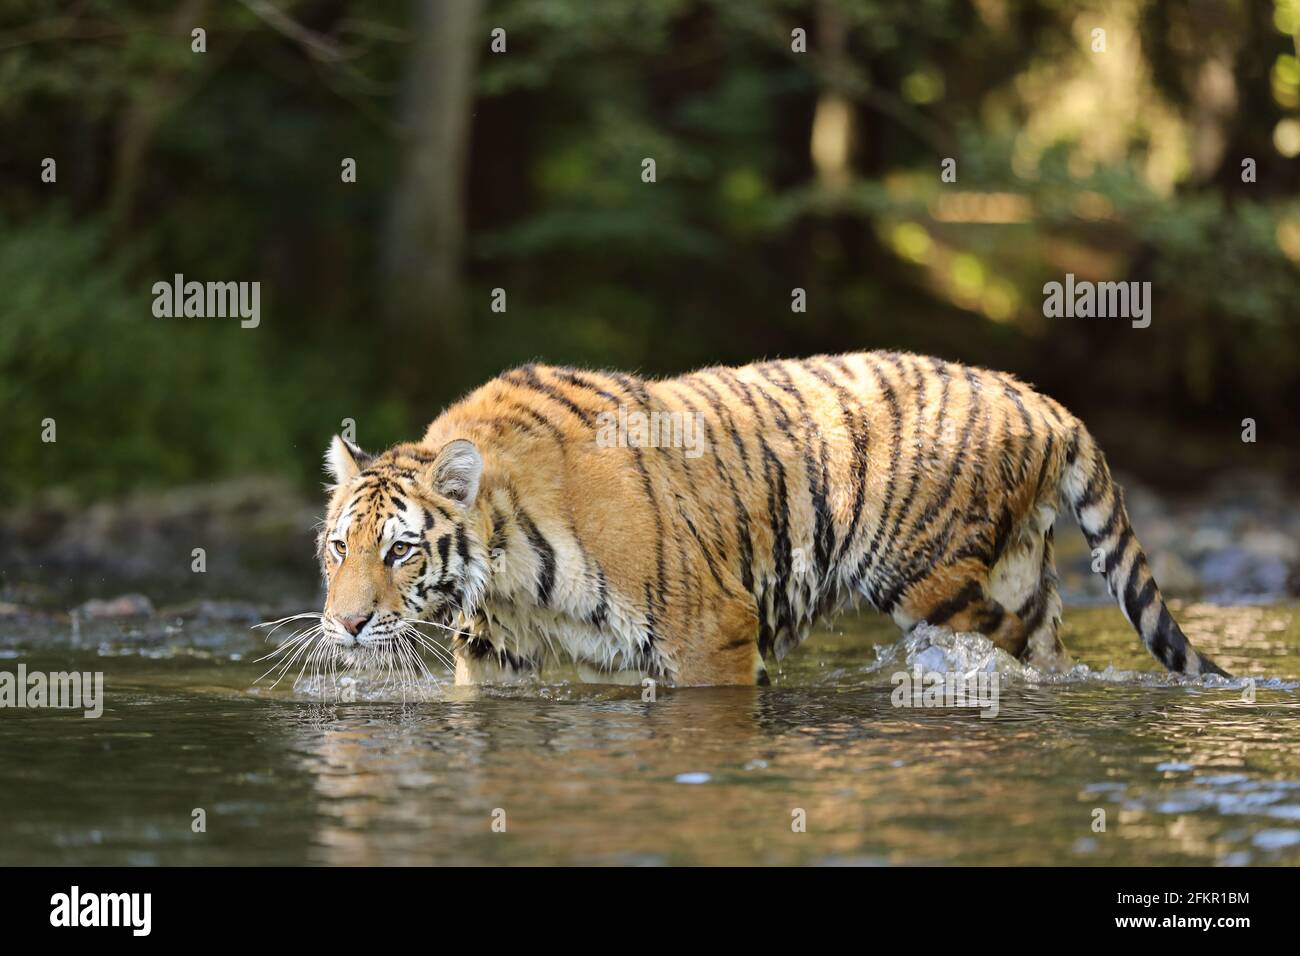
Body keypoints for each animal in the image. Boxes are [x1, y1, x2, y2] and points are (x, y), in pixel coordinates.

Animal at [317, 351, 1227, 686]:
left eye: (400, 551)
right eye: (336, 549)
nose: (345, 625)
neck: (506, 573)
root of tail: (1041, 398)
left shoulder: (708, 633)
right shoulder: (497, 657)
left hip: (931, 582)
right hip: (1019, 575)